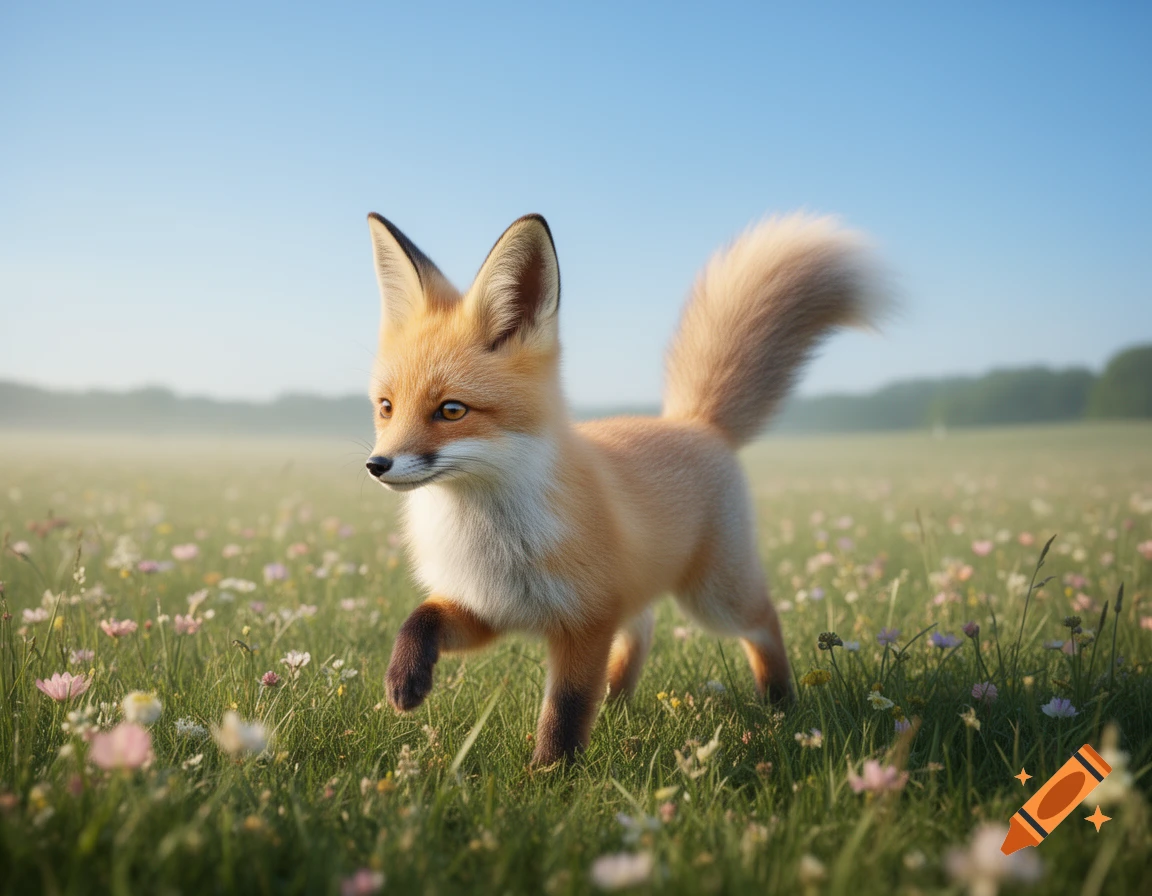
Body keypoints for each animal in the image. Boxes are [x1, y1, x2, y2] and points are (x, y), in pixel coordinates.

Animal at [364, 210, 877, 765]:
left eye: (451, 410)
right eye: (386, 407)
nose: (376, 465)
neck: (494, 538)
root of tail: (695, 422)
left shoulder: (586, 621)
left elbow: (565, 710)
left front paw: (550, 774)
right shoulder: (487, 607)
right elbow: (421, 618)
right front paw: (404, 679)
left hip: (713, 597)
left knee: (764, 620)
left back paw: (781, 702)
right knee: (644, 627)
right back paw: (616, 701)